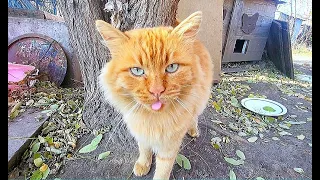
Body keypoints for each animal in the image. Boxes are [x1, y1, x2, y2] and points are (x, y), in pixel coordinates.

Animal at [96, 11, 214, 180]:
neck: (152, 119)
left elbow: (163, 169)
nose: (157, 91)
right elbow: (144, 149)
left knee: (195, 116)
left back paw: (193, 130)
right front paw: (143, 164)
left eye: (172, 67)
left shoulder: (169, 145)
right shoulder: (141, 132)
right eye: (137, 71)